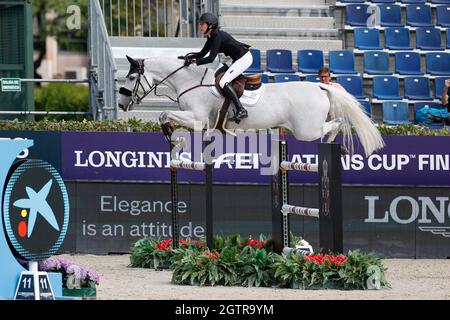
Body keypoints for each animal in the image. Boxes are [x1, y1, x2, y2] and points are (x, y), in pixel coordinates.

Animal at [117, 57, 384, 158]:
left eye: (130, 78)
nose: (121, 104)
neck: (190, 81)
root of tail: (320, 87)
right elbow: (166, 116)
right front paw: (171, 135)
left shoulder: (197, 118)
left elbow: (164, 113)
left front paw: (169, 134)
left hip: (306, 130)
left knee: (336, 124)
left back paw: (333, 145)